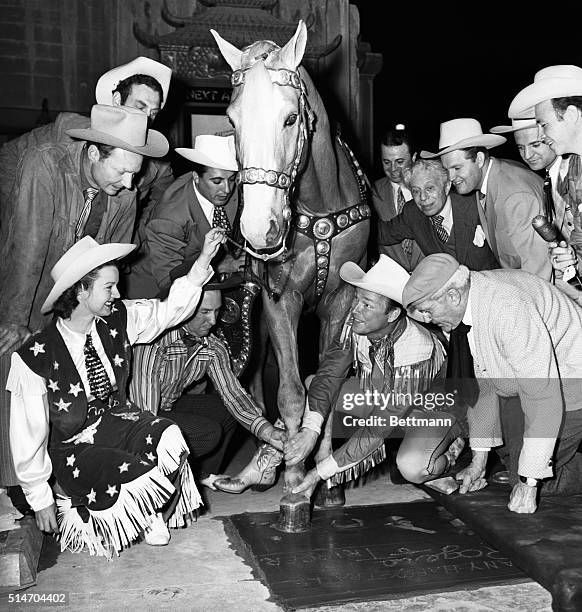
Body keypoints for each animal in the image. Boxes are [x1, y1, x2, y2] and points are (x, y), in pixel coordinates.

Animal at [213, 21, 370, 492]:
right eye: (232, 120)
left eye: (290, 118)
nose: (259, 229)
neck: (317, 209)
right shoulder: (279, 300)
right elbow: (290, 393)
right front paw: (294, 479)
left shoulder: (341, 300)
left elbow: (325, 384)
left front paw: (321, 476)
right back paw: (262, 463)